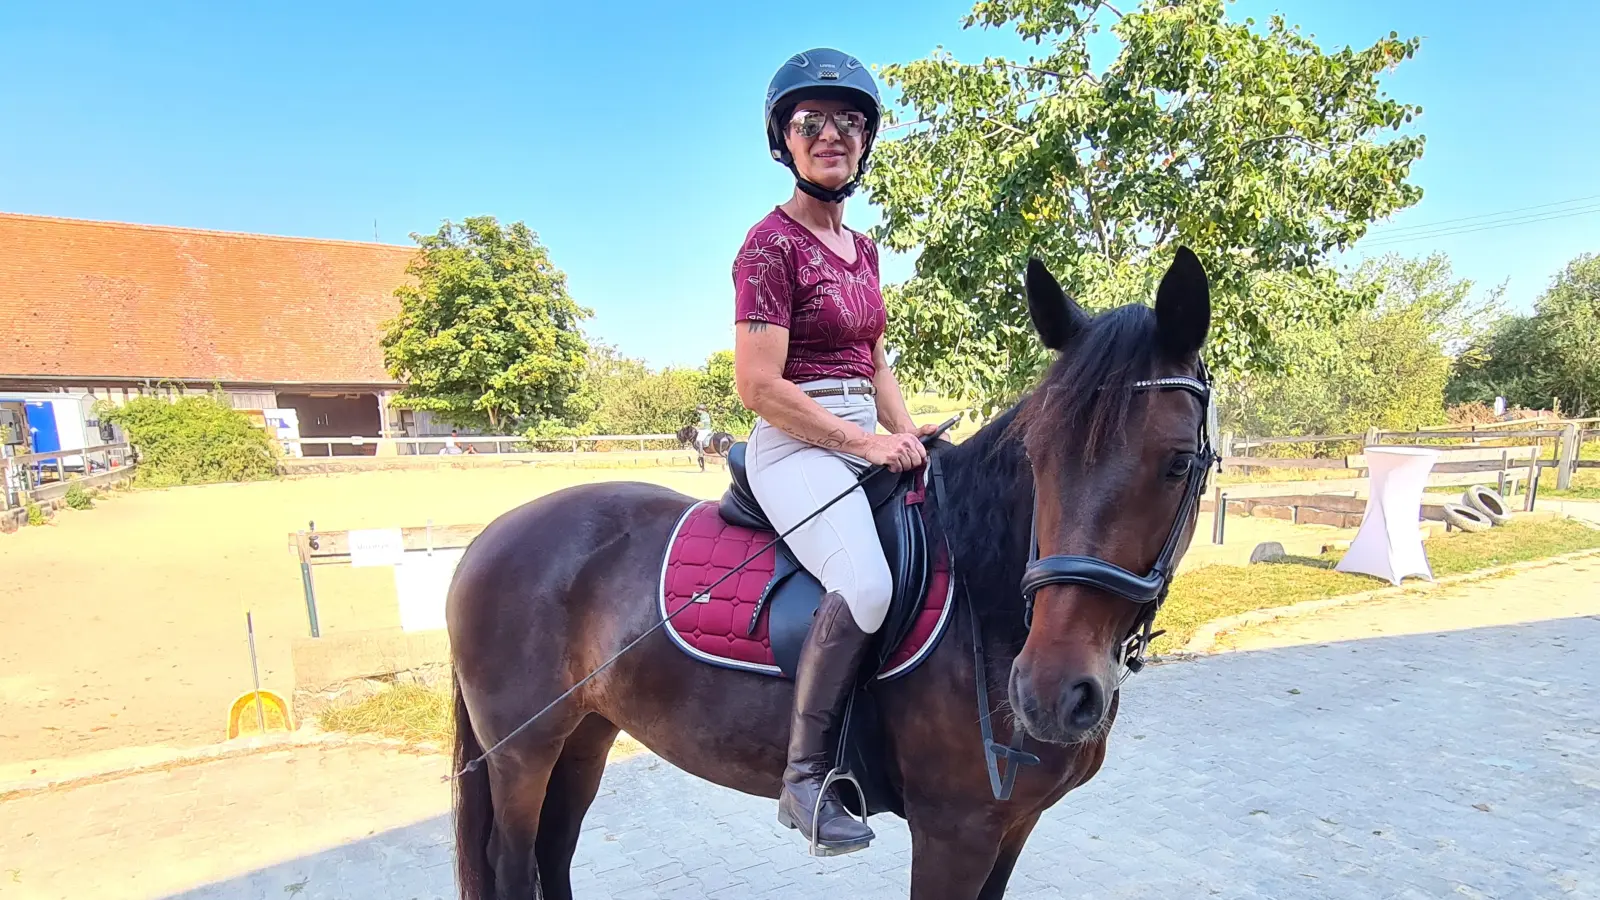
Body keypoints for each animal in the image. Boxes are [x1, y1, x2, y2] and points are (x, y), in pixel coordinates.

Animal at [448, 246, 1209, 896]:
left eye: (1178, 462)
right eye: (1036, 456)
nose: (1049, 693)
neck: (985, 599)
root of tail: (490, 537)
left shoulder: (1015, 826)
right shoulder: (955, 833)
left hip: (586, 735)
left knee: (554, 853)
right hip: (520, 755)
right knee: (515, 866)